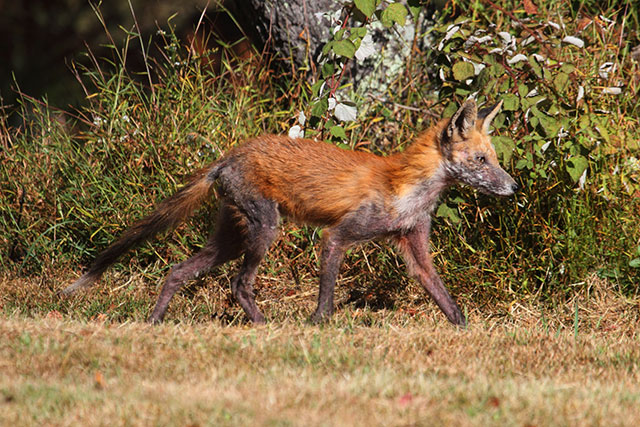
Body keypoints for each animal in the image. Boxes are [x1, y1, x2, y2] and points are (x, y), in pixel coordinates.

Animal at [63, 100, 516, 326]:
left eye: (495, 160)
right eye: (480, 160)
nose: (513, 188)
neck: (406, 190)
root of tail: (227, 157)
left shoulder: (413, 245)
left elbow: (446, 299)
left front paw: (466, 331)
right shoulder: (338, 236)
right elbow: (327, 297)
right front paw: (315, 326)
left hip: (231, 239)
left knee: (177, 271)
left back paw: (155, 322)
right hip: (265, 229)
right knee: (238, 284)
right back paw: (265, 327)